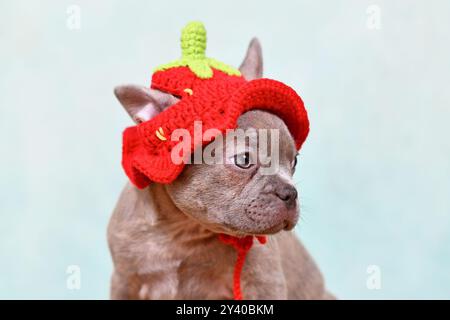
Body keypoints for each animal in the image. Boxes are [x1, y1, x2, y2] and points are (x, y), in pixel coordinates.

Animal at [107, 37, 332, 300]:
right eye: (244, 159)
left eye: (294, 161)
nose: (290, 193)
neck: (183, 231)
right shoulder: (124, 282)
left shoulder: (264, 284)